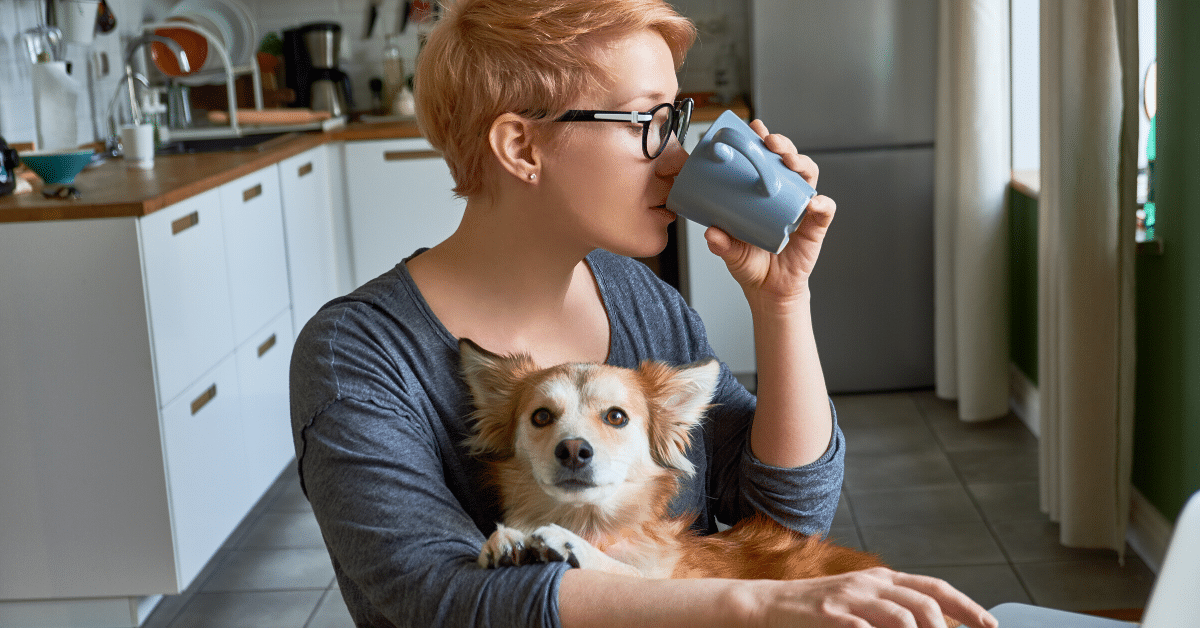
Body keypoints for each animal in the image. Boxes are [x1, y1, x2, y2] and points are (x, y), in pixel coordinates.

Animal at [453, 341, 888, 583]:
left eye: (616, 416)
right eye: (541, 416)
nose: (574, 449)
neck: (591, 524)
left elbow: (635, 577)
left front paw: (568, 545)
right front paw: (504, 540)